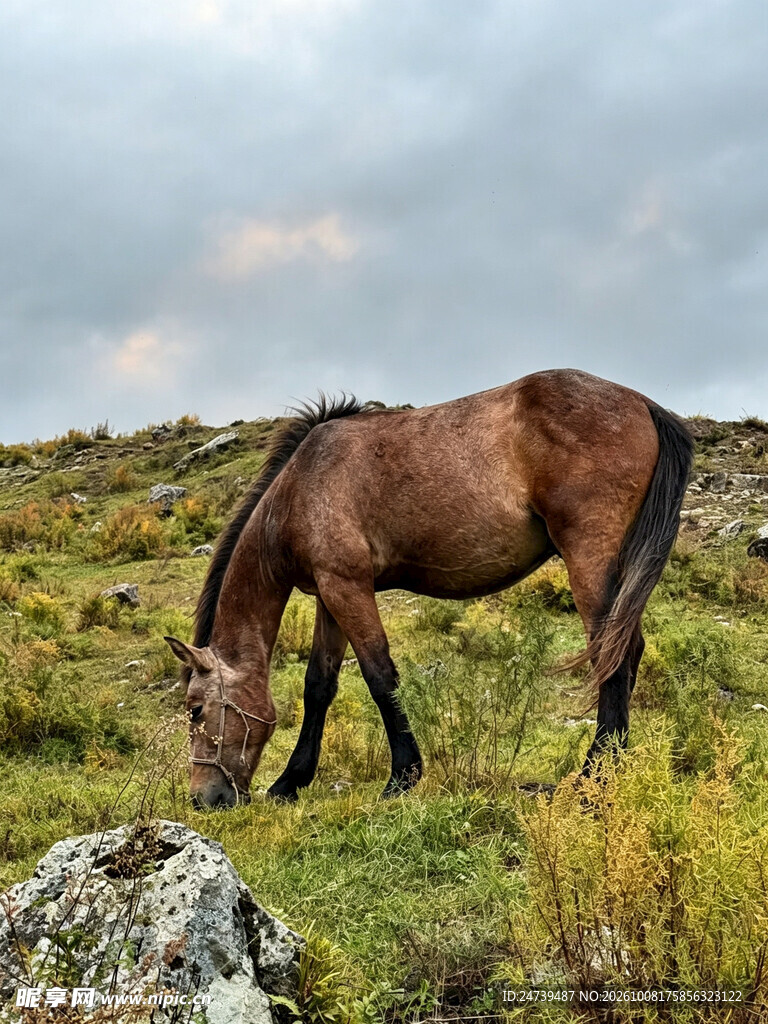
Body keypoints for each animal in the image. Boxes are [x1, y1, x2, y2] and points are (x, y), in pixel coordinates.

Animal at [165, 368, 693, 809]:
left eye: (195, 710)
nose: (203, 798)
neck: (301, 486)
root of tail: (645, 405)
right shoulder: (328, 595)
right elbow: (319, 685)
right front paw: (290, 783)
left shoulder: (347, 586)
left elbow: (380, 677)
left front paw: (402, 778)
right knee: (626, 651)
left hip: (588, 554)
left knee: (612, 655)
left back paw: (592, 781)